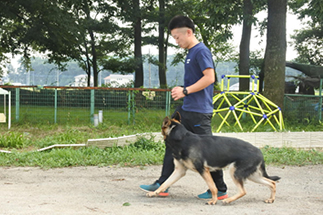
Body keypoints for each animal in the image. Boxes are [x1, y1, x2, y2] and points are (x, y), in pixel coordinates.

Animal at [147, 112, 280, 205]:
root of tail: (259, 151)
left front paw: (213, 201)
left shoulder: (203, 170)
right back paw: (271, 199)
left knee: (243, 191)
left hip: (235, 172)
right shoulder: (179, 171)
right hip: (252, 175)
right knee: (272, 183)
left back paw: (228, 200)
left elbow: (213, 187)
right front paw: (154, 192)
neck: (182, 139)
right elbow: (165, 183)